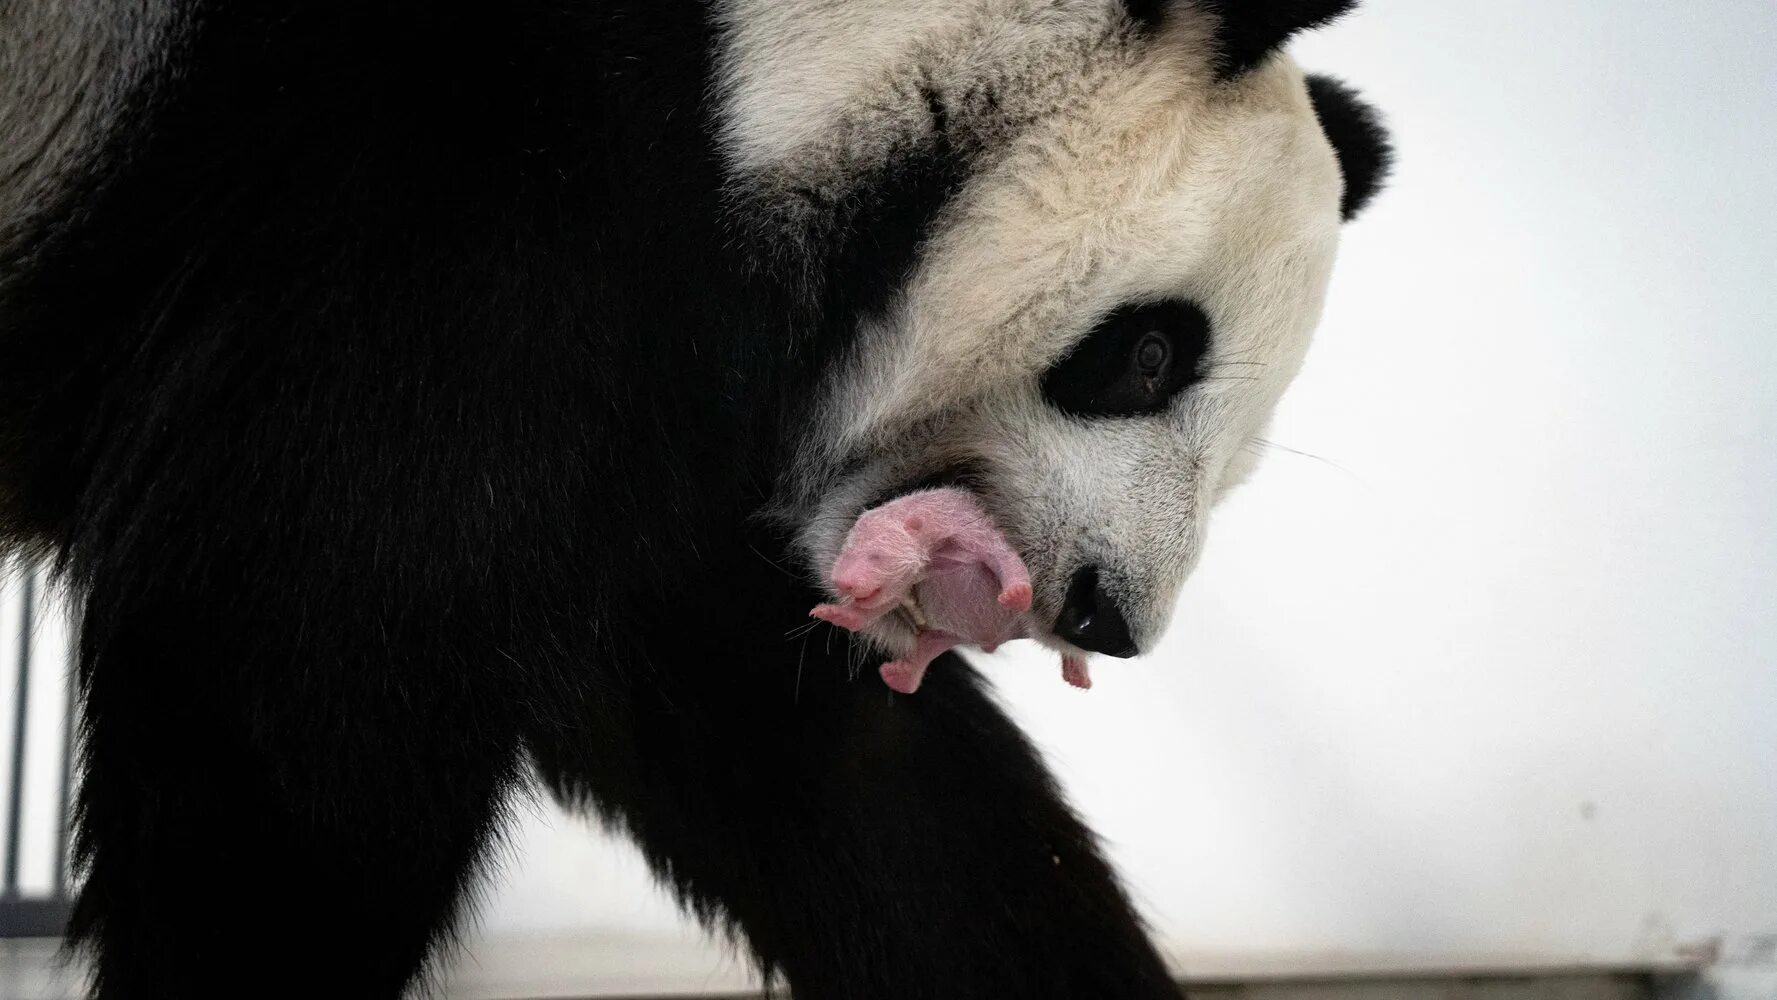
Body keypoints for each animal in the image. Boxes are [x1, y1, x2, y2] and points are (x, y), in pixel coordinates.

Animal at [0, 1, 1386, 1000]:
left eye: (1237, 464)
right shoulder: (436, 196)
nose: (1108, 613)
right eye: (1148, 354)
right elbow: (302, 669)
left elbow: (798, 745)